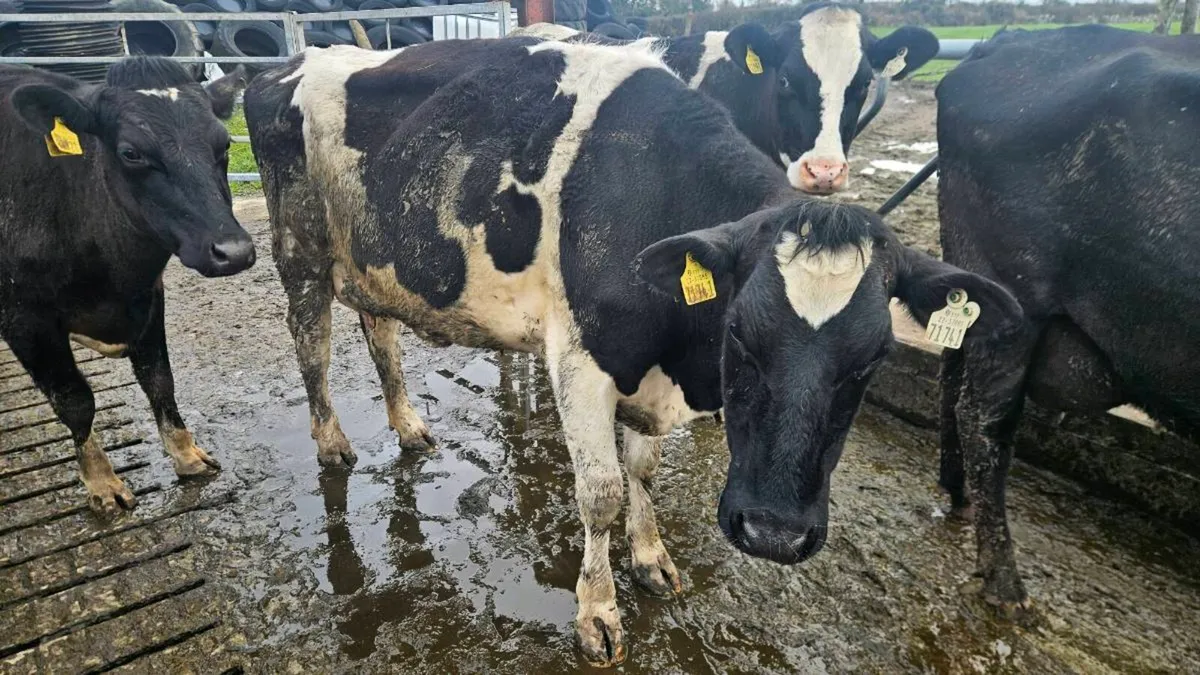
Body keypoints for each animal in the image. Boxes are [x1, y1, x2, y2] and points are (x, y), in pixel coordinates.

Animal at [0, 57, 256, 513]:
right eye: (131, 153)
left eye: (224, 144)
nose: (234, 251)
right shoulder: (24, 319)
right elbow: (76, 401)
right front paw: (102, 483)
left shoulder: (148, 296)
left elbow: (159, 379)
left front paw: (186, 454)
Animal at [244, 40, 1020, 665]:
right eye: (740, 334)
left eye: (872, 359)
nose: (773, 533)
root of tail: (289, 61)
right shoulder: (581, 359)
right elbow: (601, 494)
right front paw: (597, 611)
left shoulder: (648, 375)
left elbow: (643, 471)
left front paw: (652, 558)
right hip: (300, 252)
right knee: (311, 347)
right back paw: (333, 442)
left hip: (374, 265)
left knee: (381, 338)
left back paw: (407, 426)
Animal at [934, 25, 1200, 618]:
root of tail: (1005, 42)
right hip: (1014, 304)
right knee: (982, 419)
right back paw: (1006, 585)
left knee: (951, 377)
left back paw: (958, 498)